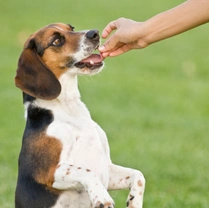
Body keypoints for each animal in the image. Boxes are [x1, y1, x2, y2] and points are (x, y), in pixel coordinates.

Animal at [14, 22, 145, 208]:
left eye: (71, 28)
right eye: (56, 41)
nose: (95, 33)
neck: (69, 108)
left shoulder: (107, 169)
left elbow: (138, 175)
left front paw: (134, 202)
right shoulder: (50, 172)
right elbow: (87, 171)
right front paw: (101, 197)